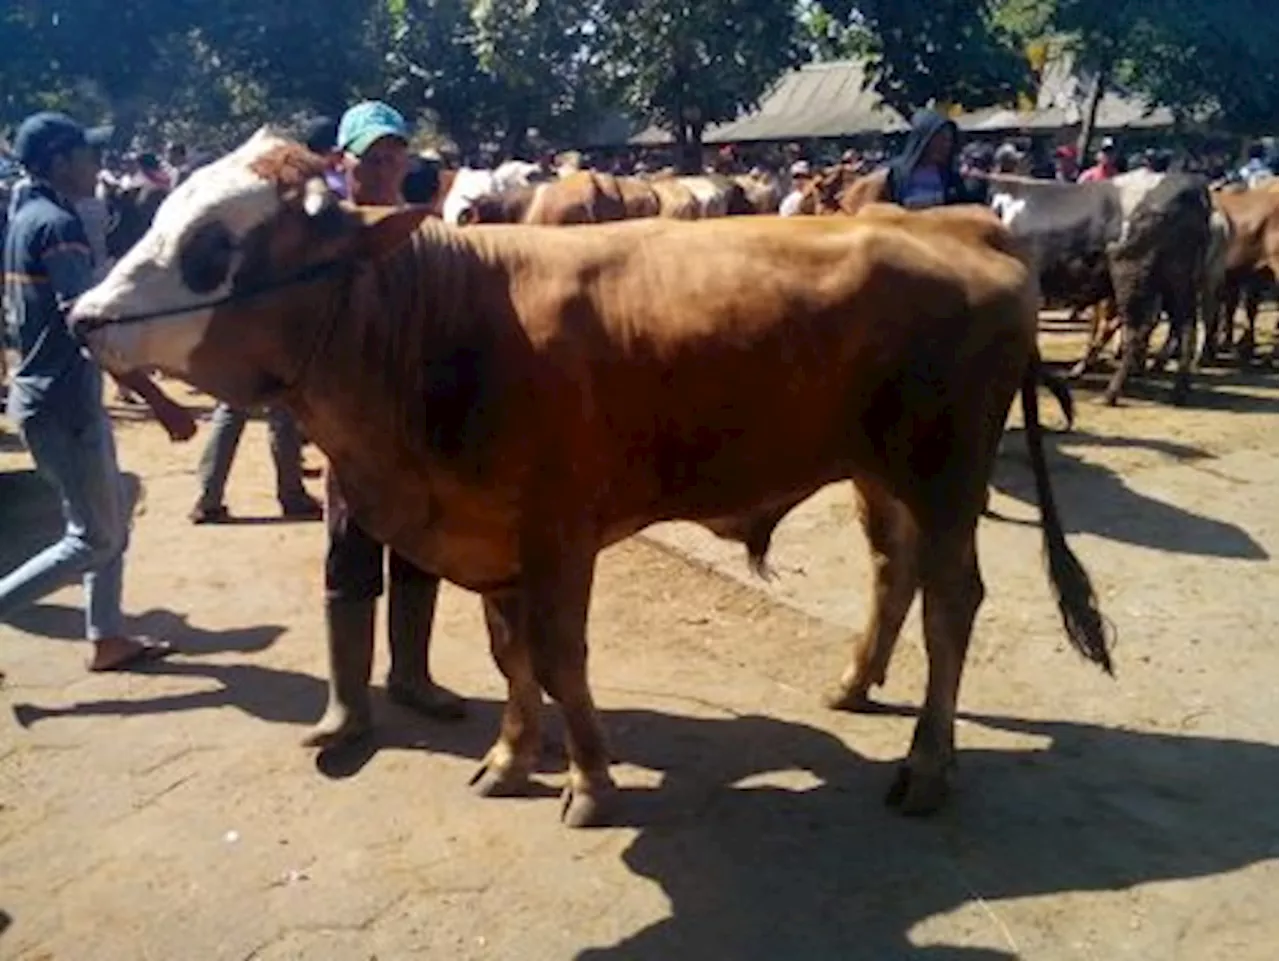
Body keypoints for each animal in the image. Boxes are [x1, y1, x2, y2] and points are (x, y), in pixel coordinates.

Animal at [72, 131, 1111, 829]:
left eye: (214, 245)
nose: (82, 317)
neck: (443, 325)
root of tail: (967, 223)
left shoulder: (559, 536)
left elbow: (560, 658)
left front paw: (591, 780)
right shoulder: (492, 538)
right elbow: (510, 657)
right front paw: (508, 757)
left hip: (945, 474)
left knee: (951, 603)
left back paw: (928, 768)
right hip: (877, 474)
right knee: (895, 575)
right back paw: (855, 684)